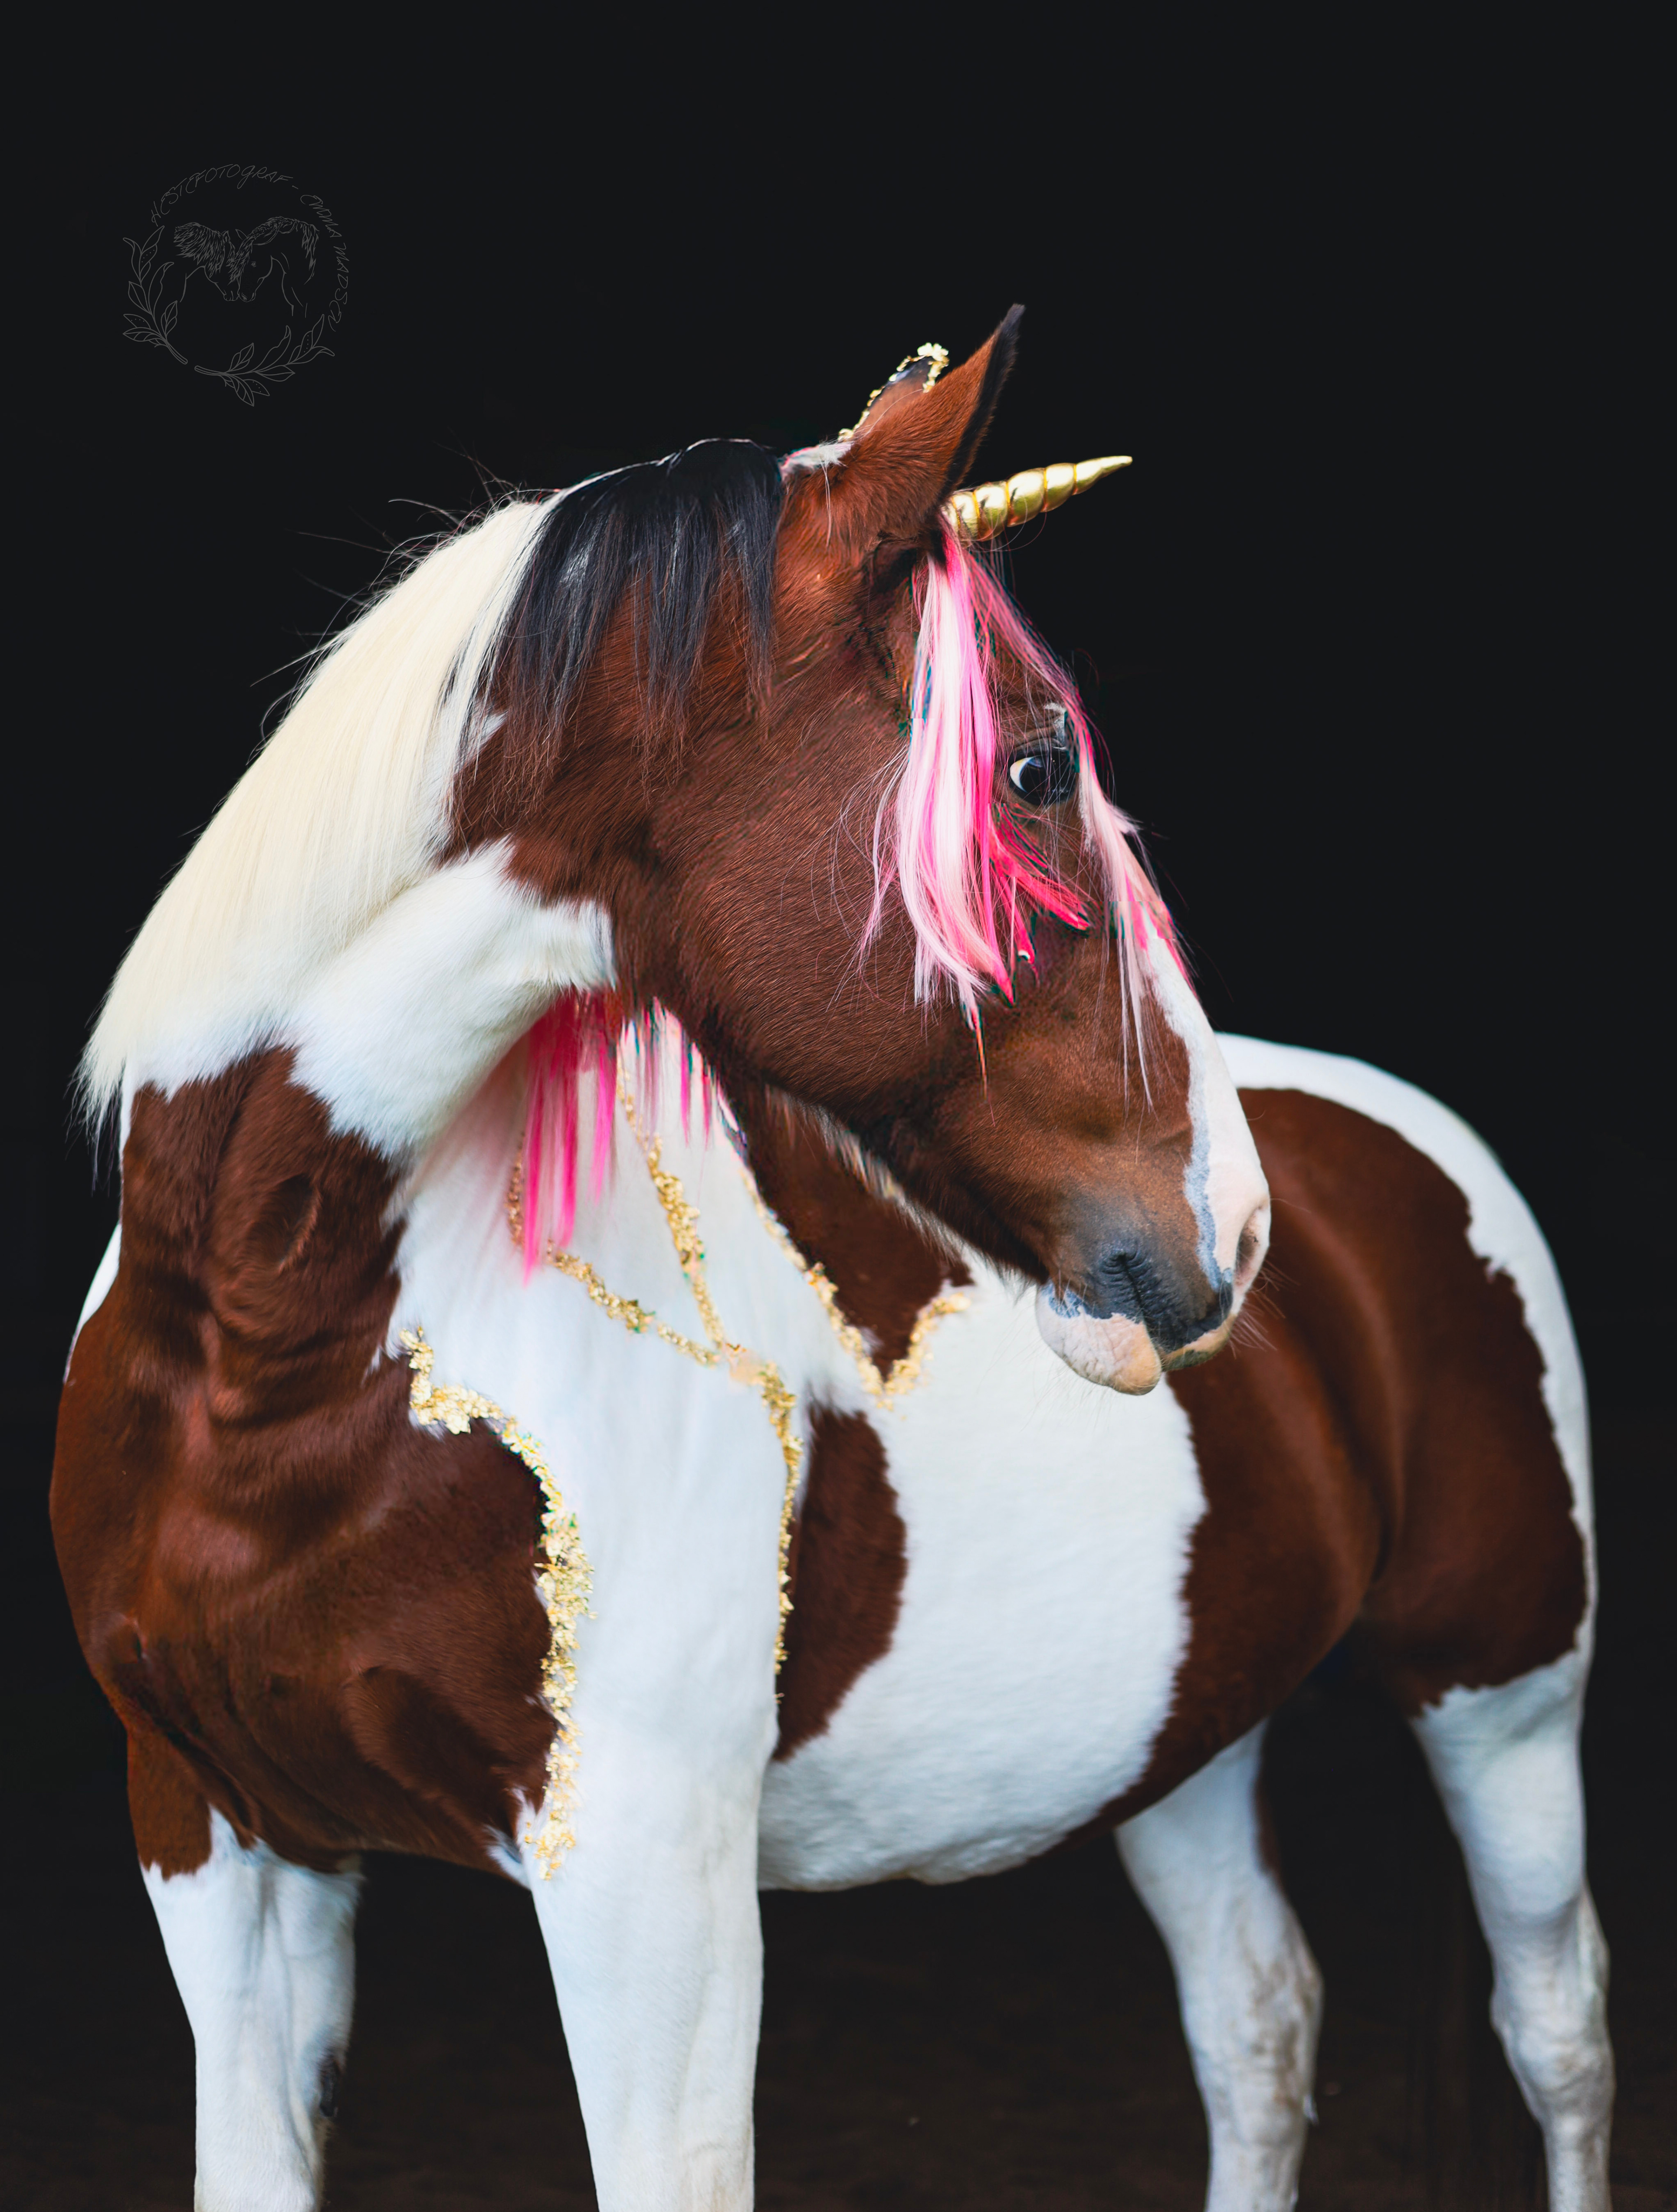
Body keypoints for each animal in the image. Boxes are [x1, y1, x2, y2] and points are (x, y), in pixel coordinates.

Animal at [51, 312, 1611, 2211]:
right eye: (1034, 766)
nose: (1228, 1229)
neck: (265, 1357)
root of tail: (1392, 1130)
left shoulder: (644, 1877)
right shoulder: (221, 1845)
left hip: (1506, 1693)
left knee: (1559, 2034)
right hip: (1191, 1737)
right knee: (1259, 2021)